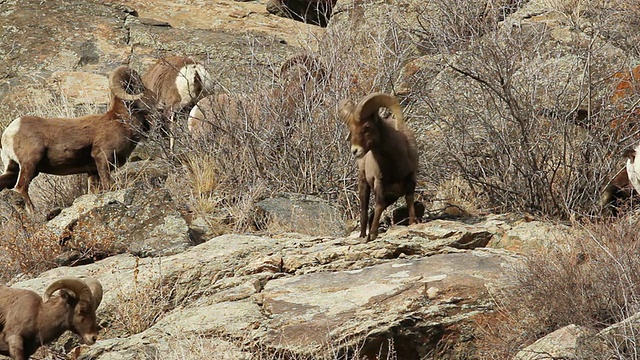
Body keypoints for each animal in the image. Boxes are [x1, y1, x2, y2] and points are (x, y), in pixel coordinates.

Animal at [0, 65, 155, 212]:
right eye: (139, 88)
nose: (155, 100)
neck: (121, 122)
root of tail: (9, 132)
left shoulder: (92, 172)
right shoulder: (103, 158)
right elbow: (108, 185)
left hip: (13, 169)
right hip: (30, 163)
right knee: (21, 187)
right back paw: (34, 214)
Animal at [338, 93, 422, 242]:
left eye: (367, 126)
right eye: (351, 129)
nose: (355, 151)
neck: (395, 162)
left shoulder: (410, 178)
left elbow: (409, 199)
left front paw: (413, 222)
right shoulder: (379, 182)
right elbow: (379, 205)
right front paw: (372, 234)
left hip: (392, 196)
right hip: (364, 184)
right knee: (365, 210)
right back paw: (363, 235)